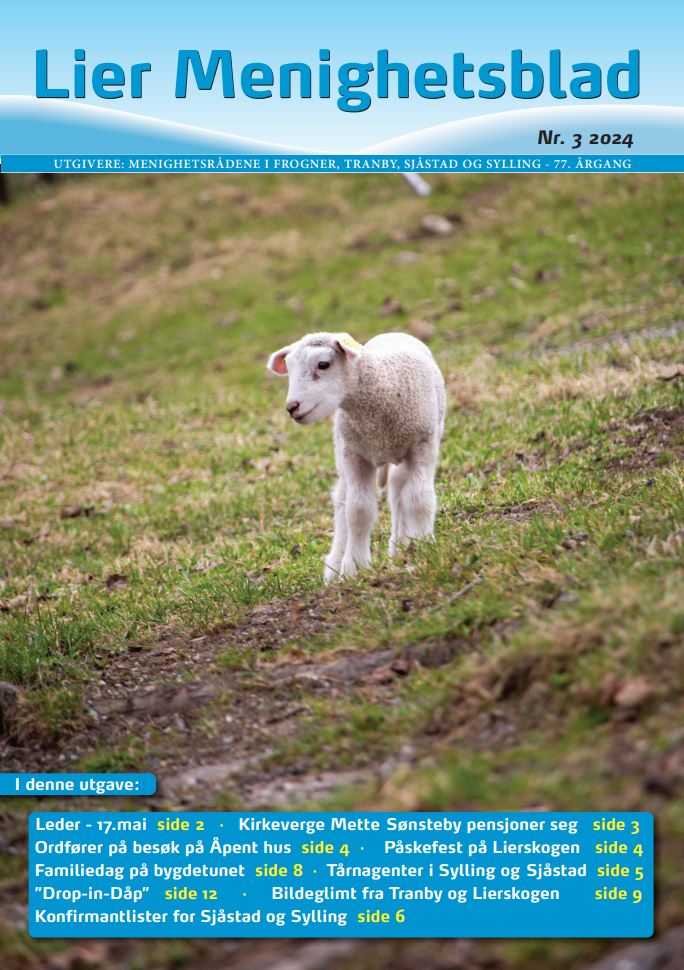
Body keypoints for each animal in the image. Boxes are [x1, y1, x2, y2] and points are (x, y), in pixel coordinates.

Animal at [264, 328, 446, 580]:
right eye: (288, 368)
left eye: (323, 364)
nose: (292, 407)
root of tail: (392, 332)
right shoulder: (355, 456)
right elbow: (358, 510)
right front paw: (354, 567)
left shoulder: (422, 445)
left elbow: (418, 498)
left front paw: (423, 547)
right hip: (342, 449)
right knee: (342, 501)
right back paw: (334, 566)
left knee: (398, 488)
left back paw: (400, 546)